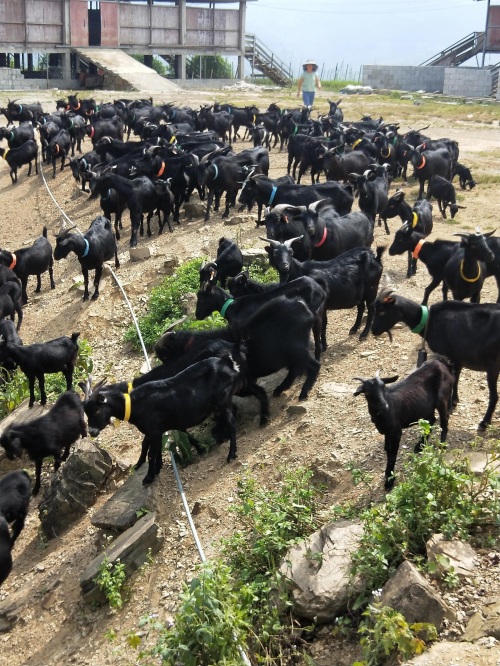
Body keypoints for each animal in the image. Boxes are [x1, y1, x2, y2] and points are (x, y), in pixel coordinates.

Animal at [82, 354, 244, 484]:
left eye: (97, 410)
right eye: (86, 412)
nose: (92, 431)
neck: (134, 404)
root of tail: (228, 362)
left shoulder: (153, 430)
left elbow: (151, 453)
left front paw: (148, 477)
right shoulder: (155, 431)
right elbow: (150, 446)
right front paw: (153, 468)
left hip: (223, 400)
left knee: (231, 423)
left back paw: (231, 455)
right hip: (225, 401)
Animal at [354, 361, 454, 489]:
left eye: (383, 387)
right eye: (367, 392)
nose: (384, 405)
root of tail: (441, 365)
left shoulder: (396, 432)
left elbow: (392, 454)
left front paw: (389, 481)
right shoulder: (387, 432)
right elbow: (387, 449)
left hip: (443, 400)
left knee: (444, 422)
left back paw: (441, 447)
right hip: (425, 408)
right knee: (432, 420)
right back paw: (420, 445)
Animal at [371, 286, 500, 431]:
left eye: (382, 311)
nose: (373, 330)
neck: (428, 321)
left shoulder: (448, 356)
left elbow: (452, 379)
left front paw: (449, 406)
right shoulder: (458, 359)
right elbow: (456, 379)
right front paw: (454, 401)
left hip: (493, 364)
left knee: (494, 396)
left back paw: (484, 422)